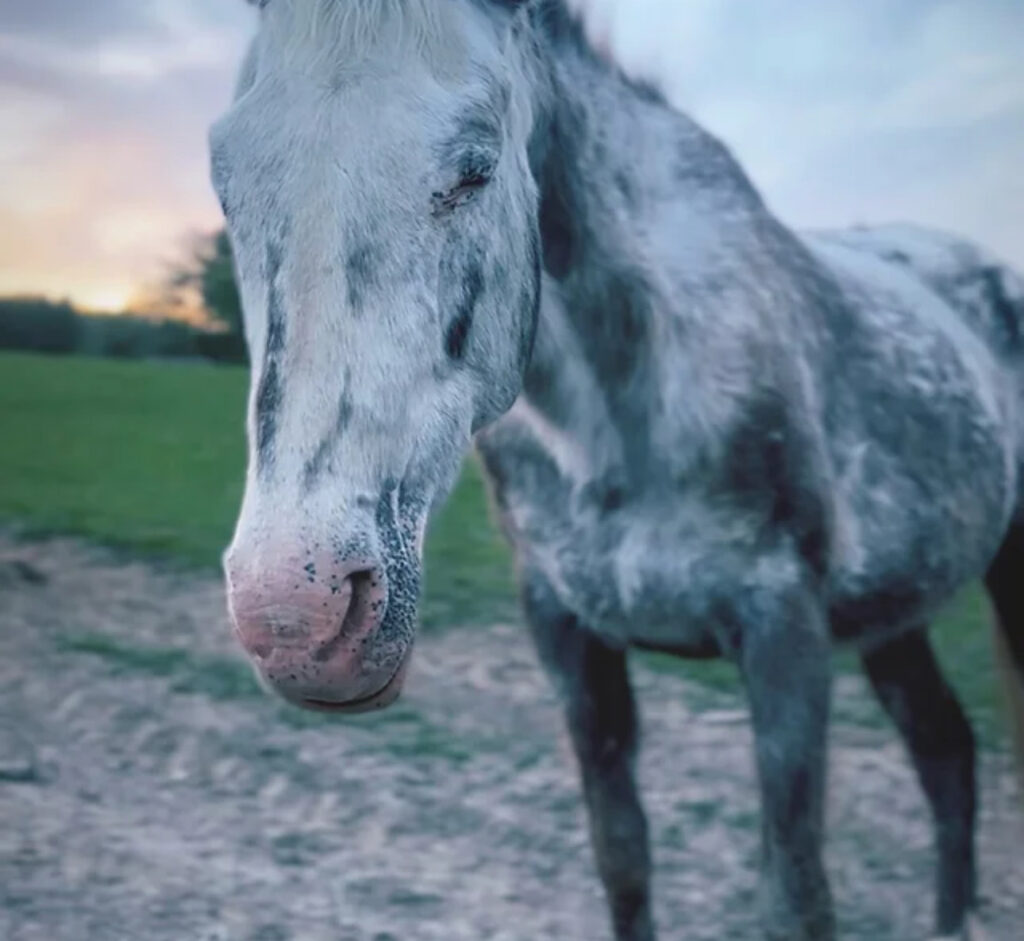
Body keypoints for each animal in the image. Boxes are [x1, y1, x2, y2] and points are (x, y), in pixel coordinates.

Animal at [209, 1, 1024, 941]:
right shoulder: (569, 633)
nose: (294, 617)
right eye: (225, 180)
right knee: (946, 752)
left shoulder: (785, 632)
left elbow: (796, 893)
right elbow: (623, 860)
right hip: (895, 615)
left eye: (477, 168)